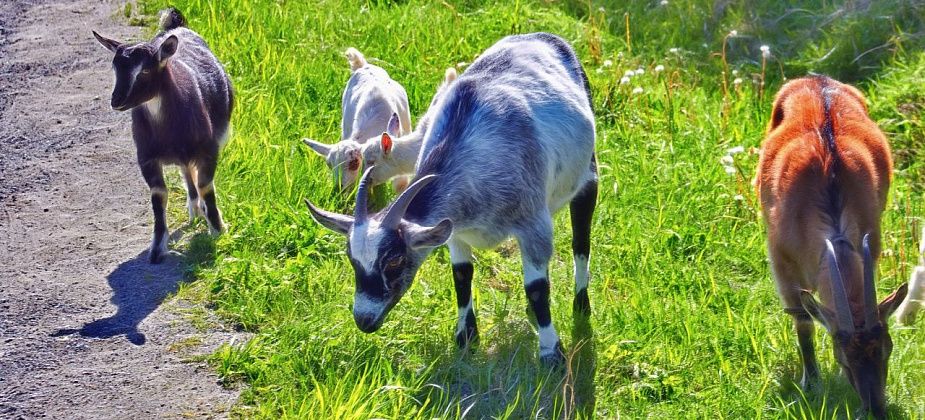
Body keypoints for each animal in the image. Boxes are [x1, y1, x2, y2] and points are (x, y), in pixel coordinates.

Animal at [92, 9, 233, 262]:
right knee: (186, 171)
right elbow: (159, 196)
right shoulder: (146, 158)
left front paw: (218, 230)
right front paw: (157, 248)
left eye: (145, 70)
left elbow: (206, 186)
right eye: (115, 69)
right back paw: (194, 209)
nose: (116, 101)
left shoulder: (209, 150)